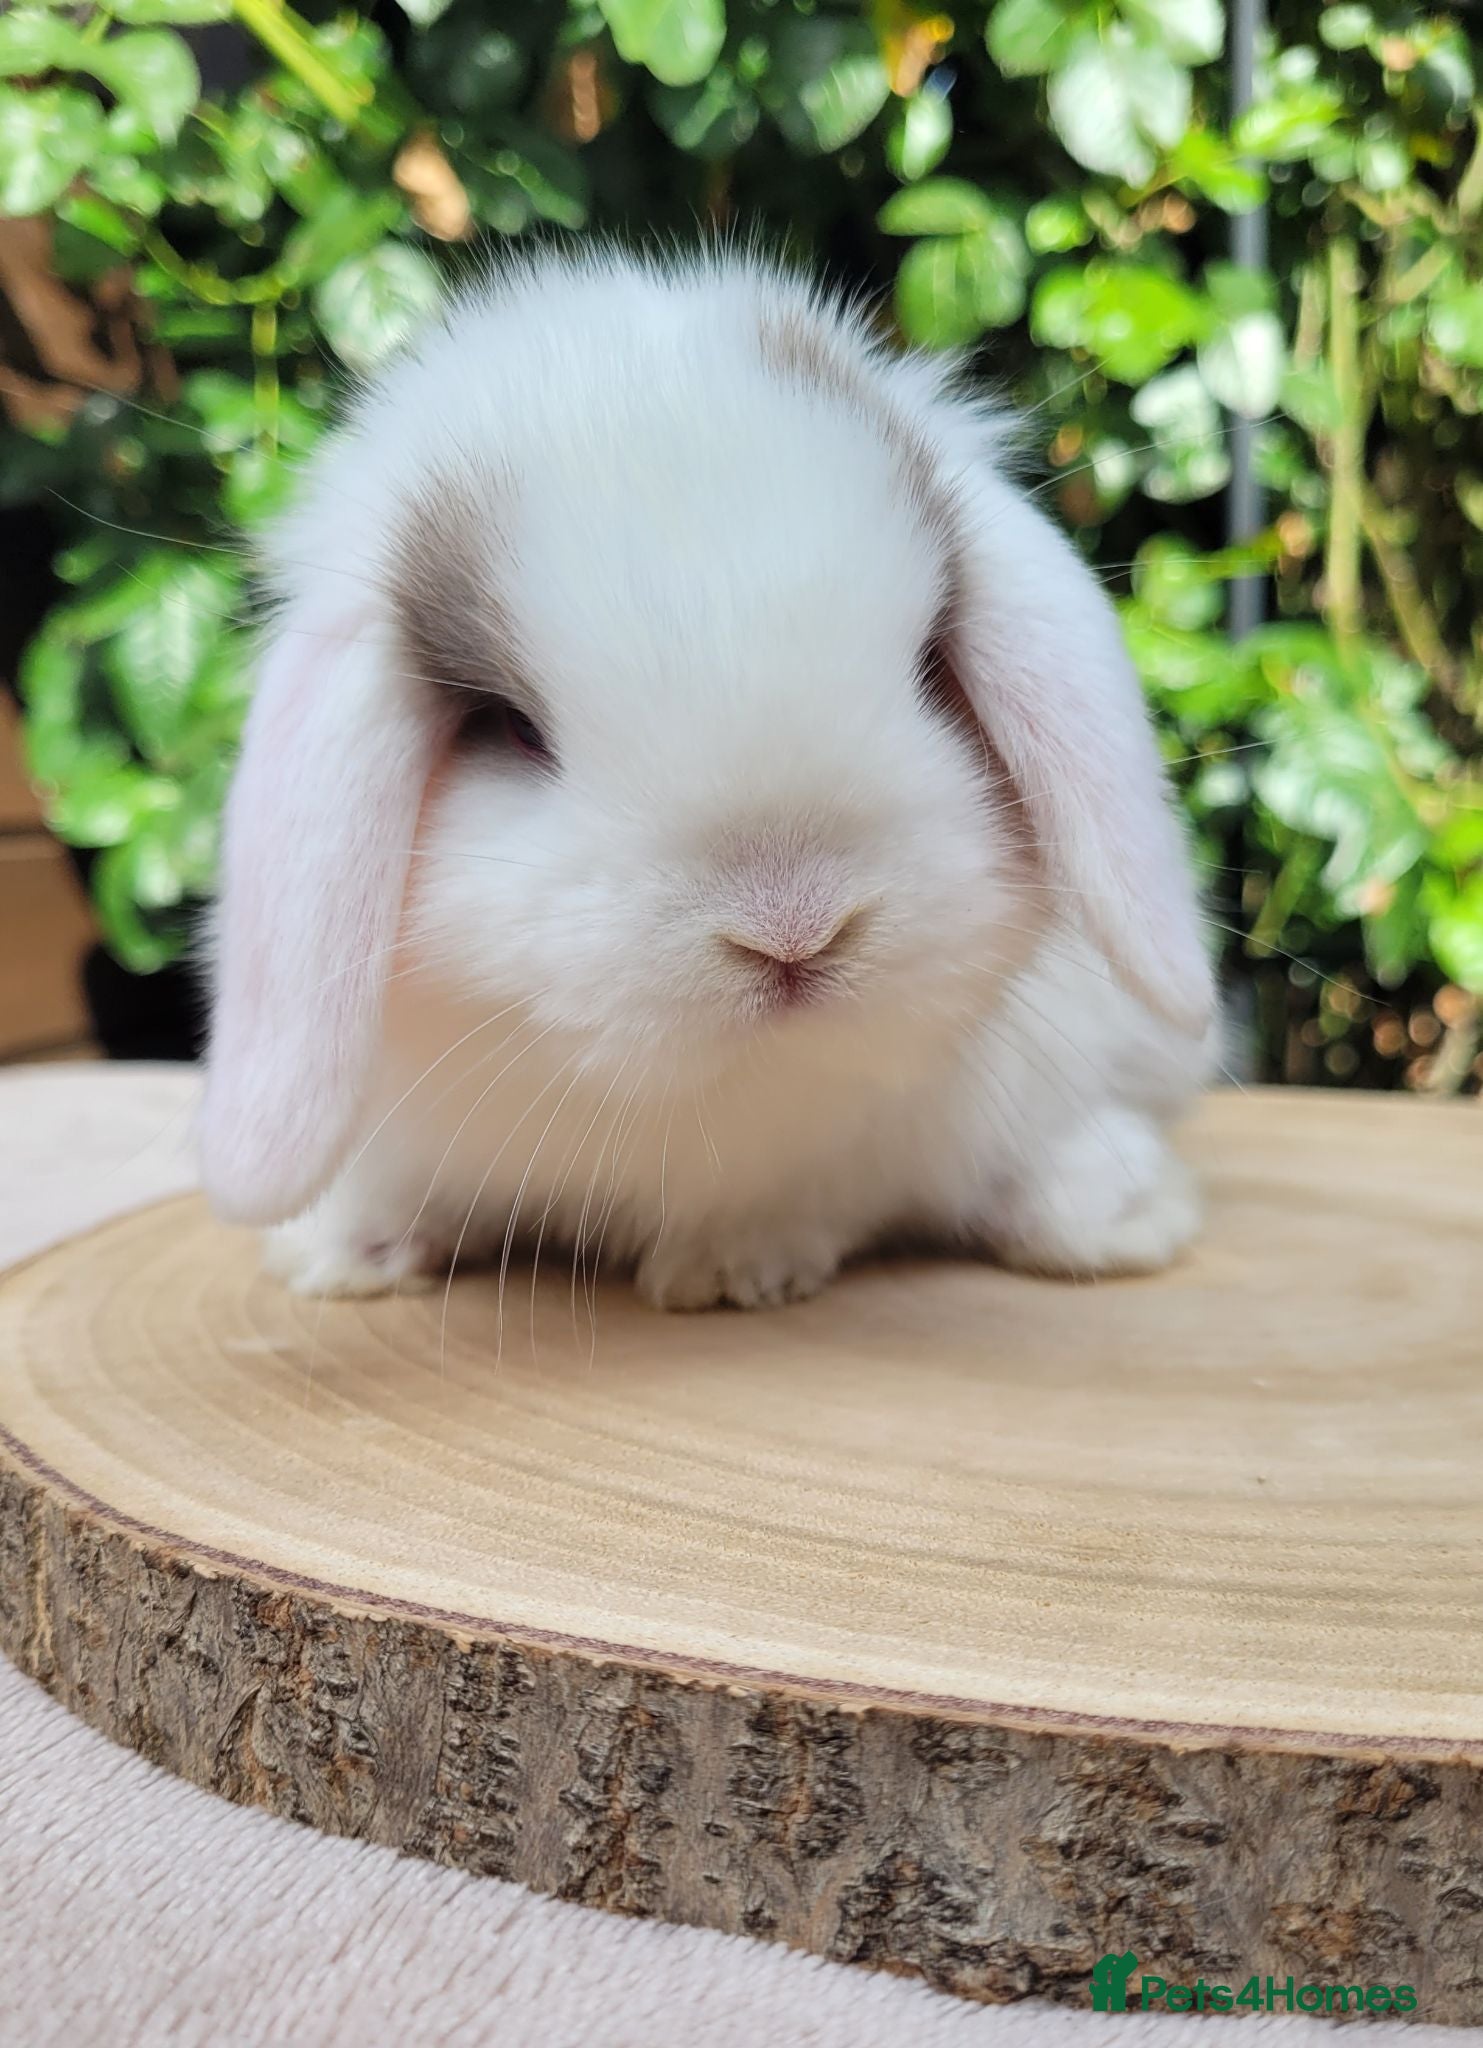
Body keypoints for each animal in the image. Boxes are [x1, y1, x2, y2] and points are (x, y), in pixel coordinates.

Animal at [199, 243, 1218, 1314]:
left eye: (929, 663)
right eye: (511, 726)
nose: (793, 930)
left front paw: (732, 1268)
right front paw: (335, 1251)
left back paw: (1116, 1213)